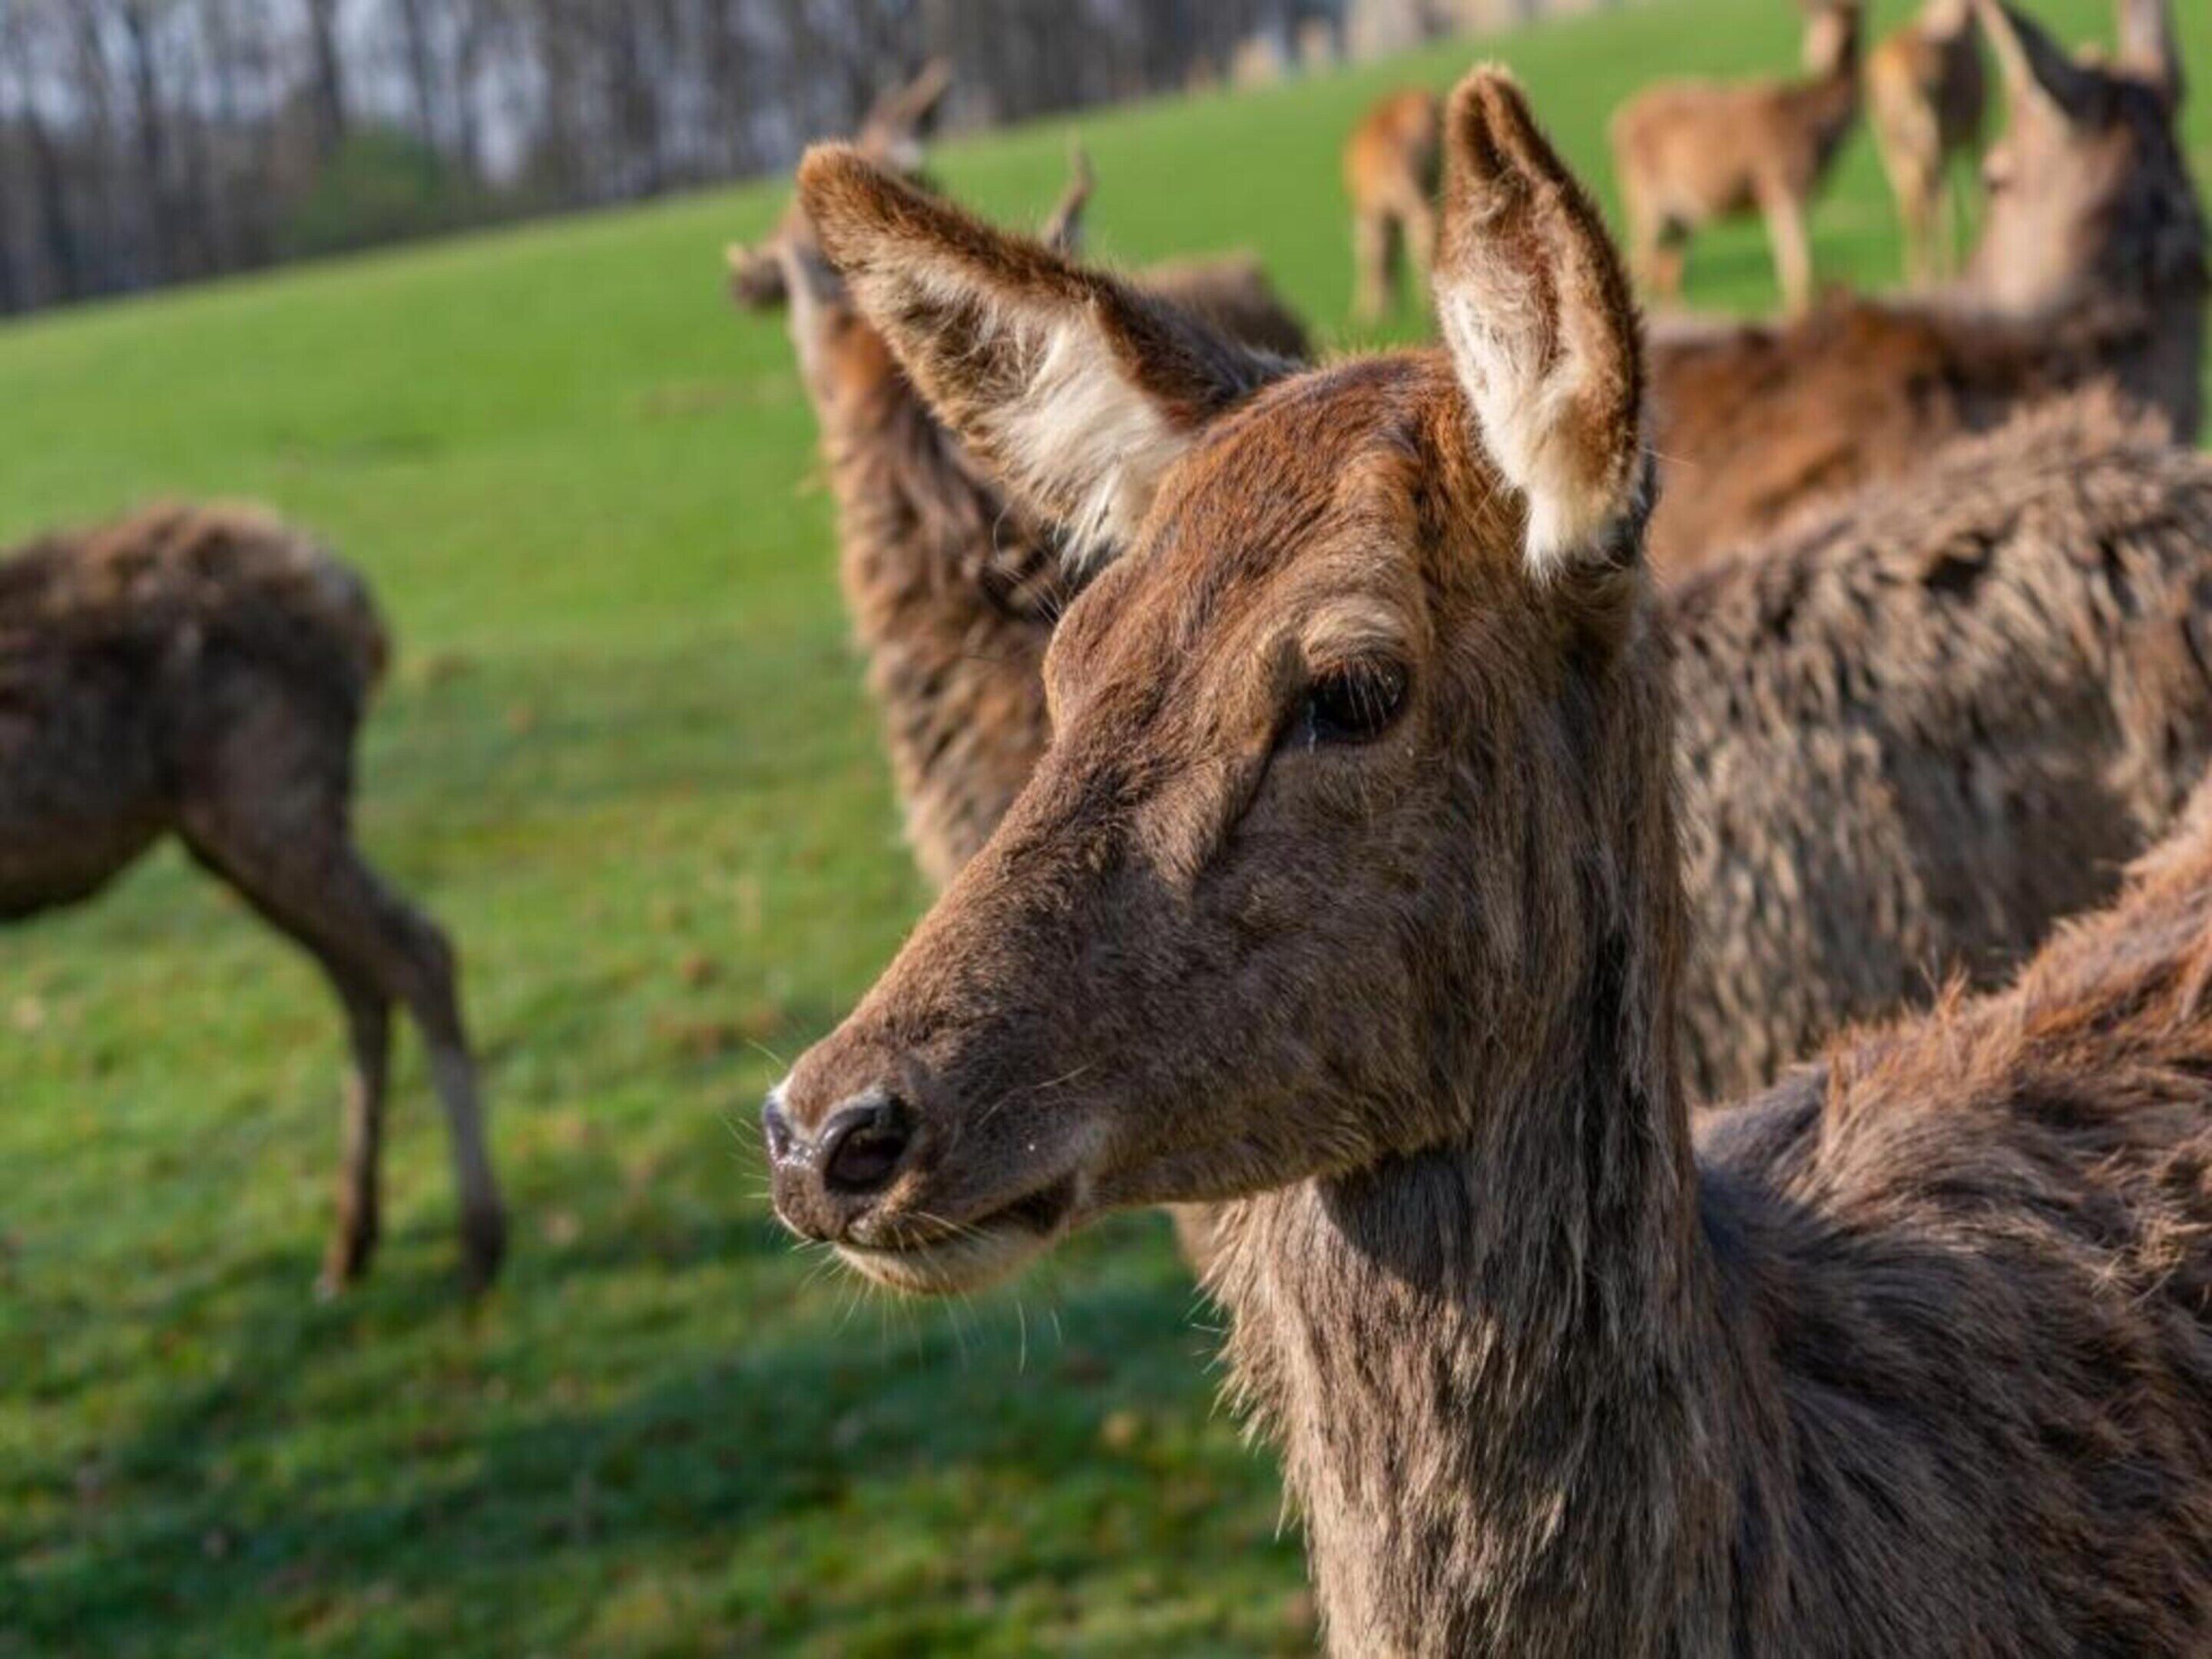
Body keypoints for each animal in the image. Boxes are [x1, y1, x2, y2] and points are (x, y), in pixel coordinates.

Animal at [1, 505, 505, 1294]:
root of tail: (357, 606)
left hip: (268, 797)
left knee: (419, 949)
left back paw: (478, 1243)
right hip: (247, 829)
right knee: (364, 978)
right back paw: (352, 1244)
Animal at [1609, 0, 1865, 317]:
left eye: (1852, 15)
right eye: (1814, 17)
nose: (1822, 55)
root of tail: (1616, 123)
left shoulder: (1801, 195)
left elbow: (1796, 263)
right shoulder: (1782, 185)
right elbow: (1796, 267)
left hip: (1679, 214)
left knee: (1668, 270)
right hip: (1644, 196)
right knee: (1640, 258)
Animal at [1866, 0, 1986, 284]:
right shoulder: (1974, 131)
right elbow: (1970, 192)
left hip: (1895, 145)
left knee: (1911, 203)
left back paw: (1918, 275)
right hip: (1929, 139)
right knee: (1930, 201)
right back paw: (1937, 271)